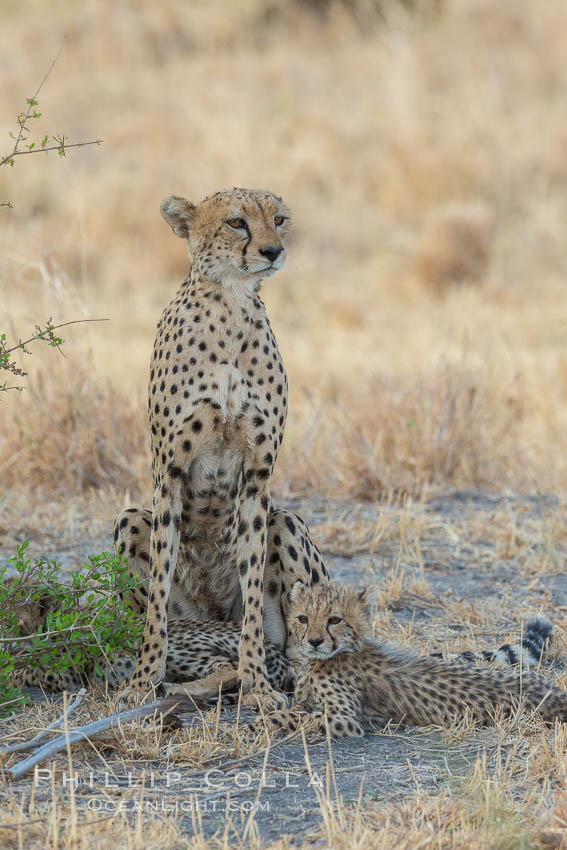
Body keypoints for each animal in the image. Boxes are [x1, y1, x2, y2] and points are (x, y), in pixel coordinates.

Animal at [116, 189, 328, 704]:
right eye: (236, 222)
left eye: (279, 219)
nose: (272, 251)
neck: (230, 304)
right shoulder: (169, 473)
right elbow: (156, 596)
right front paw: (143, 681)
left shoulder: (256, 477)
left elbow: (252, 600)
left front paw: (258, 686)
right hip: (131, 520)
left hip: (286, 523)